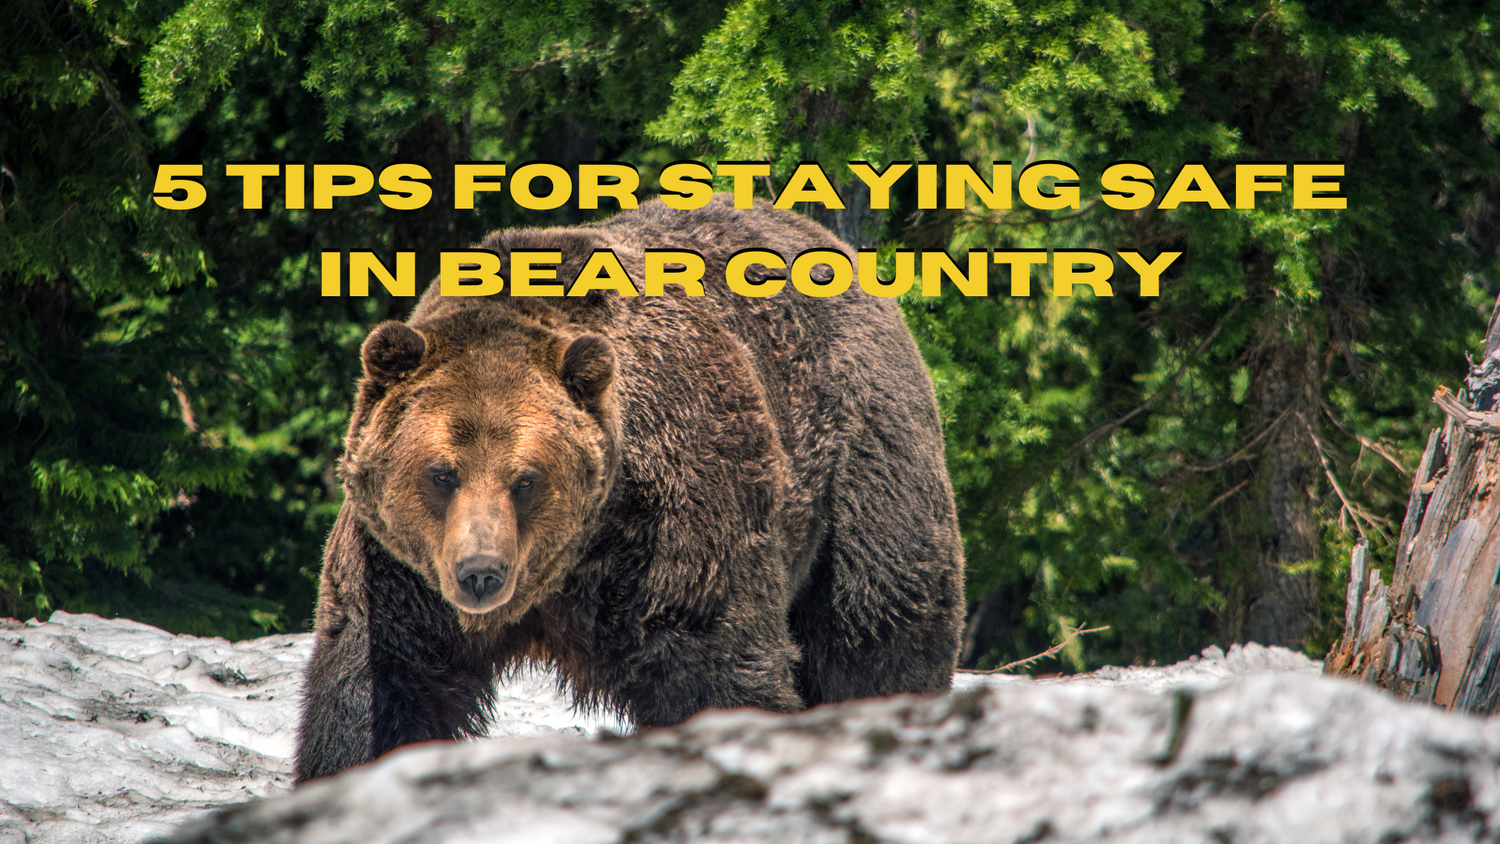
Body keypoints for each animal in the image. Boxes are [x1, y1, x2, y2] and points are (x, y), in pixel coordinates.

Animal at [294, 194, 965, 782]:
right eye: (442, 473)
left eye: (526, 478)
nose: (480, 572)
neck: (565, 567)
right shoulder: (400, 572)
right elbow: (375, 690)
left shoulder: (670, 518)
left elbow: (714, 663)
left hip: (861, 448)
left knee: (878, 615)